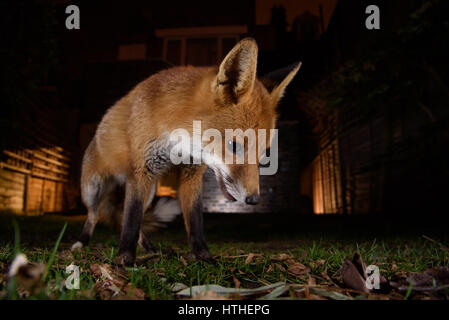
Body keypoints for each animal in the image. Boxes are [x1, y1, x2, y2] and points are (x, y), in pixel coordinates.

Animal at [71, 37, 300, 264]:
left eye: (263, 153)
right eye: (234, 146)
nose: (253, 200)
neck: (178, 141)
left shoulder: (191, 173)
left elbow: (194, 221)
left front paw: (204, 257)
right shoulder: (141, 170)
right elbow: (131, 220)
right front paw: (124, 258)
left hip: (148, 192)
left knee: (129, 220)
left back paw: (147, 246)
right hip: (93, 188)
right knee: (95, 215)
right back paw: (82, 242)